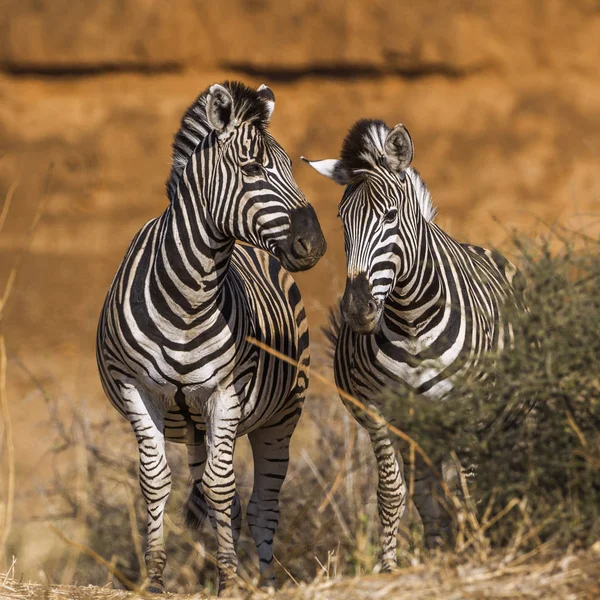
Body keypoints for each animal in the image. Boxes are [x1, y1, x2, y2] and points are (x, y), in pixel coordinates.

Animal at [96, 82, 326, 592]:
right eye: (252, 169)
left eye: (291, 166)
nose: (316, 246)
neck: (189, 296)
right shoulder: (137, 388)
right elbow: (157, 481)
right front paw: (156, 580)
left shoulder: (226, 390)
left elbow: (223, 490)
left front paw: (230, 581)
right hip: (198, 425)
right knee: (226, 496)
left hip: (281, 416)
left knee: (260, 505)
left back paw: (263, 582)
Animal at [304, 119, 524, 568]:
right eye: (341, 219)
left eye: (390, 216)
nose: (357, 310)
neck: (410, 321)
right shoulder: (378, 412)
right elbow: (393, 493)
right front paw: (387, 566)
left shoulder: (469, 408)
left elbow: (471, 484)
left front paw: (477, 551)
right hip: (422, 431)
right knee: (428, 492)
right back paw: (439, 548)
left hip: (508, 414)